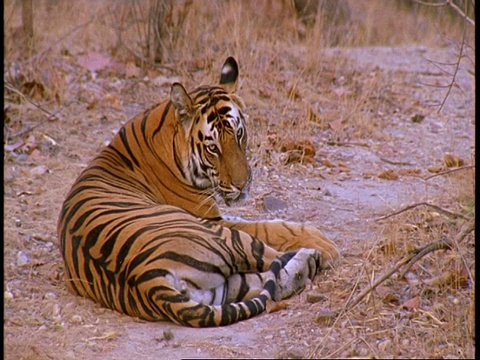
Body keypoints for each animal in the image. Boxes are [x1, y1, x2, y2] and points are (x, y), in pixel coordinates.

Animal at [57, 55, 342, 326]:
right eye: (212, 147)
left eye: (239, 134)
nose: (243, 185)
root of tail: (149, 282)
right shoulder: (212, 218)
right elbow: (268, 226)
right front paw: (323, 242)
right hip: (220, 236)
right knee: (272, 258)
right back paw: (315, 255)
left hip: (223, 288)